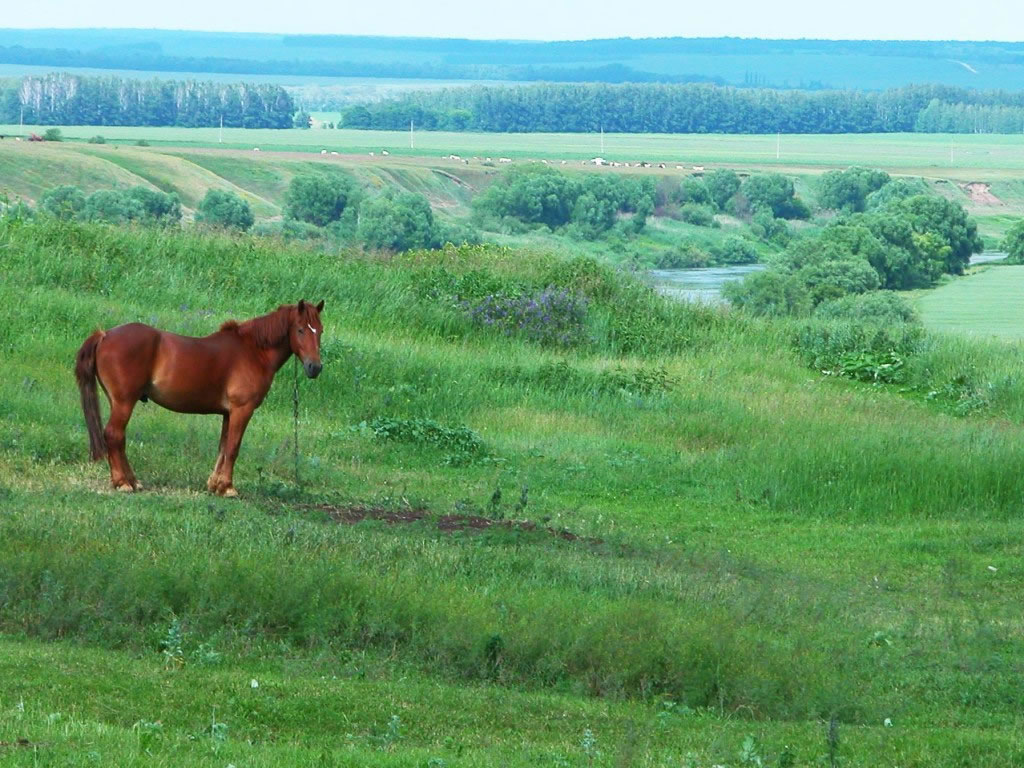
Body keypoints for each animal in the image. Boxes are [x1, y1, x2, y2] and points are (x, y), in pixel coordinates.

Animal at [74, 301, 323, 499]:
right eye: (301, 330)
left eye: (319, 331)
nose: (315, 367)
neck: (253, 351)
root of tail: (105, 335)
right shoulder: (242, 410)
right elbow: (233, 447)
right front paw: (228, 488)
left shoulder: (228, 413)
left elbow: (223, 447)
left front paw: (215, 484)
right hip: (124, 402)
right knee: (114, 435)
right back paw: (123, 482)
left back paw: (132, 480)